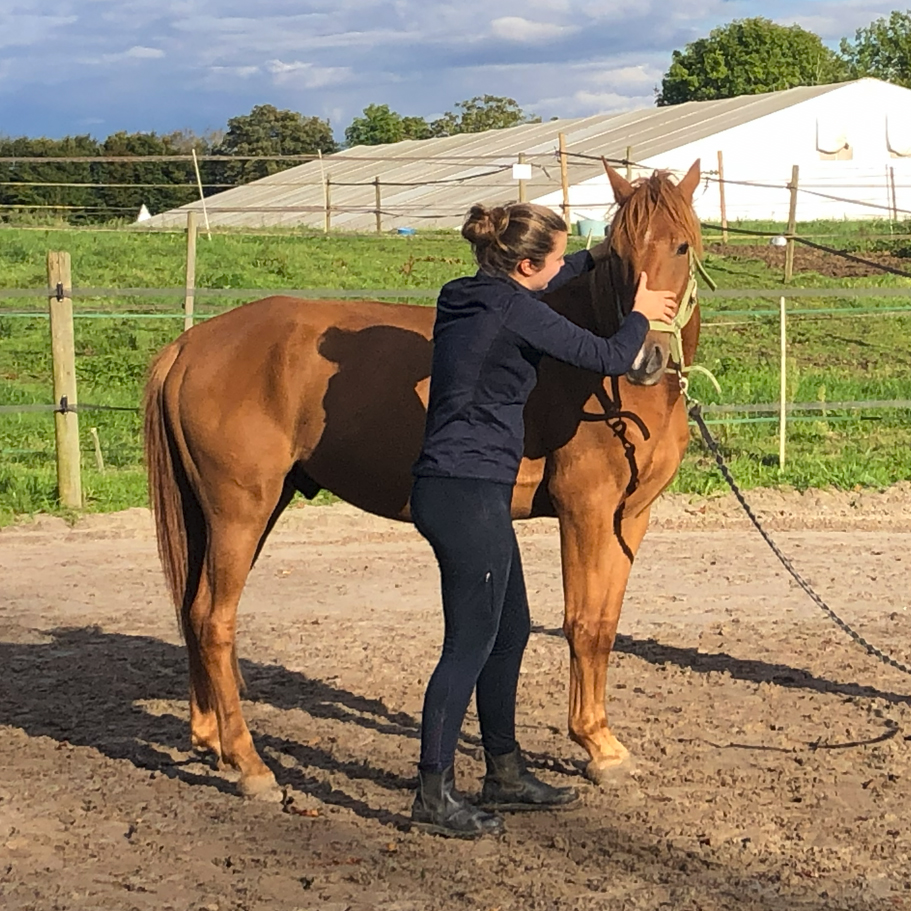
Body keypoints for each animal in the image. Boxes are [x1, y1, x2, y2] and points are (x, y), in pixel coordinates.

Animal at [143, 160, 703, 798]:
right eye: (619, 252)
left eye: (681, 246)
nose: (645, 359)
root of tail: (191, 344)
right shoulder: (584, 511)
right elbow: (582, 626)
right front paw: (596, 747)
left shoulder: (629, 517)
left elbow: (606, 625)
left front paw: (602, 741)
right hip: (239, 513)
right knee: (214, 621)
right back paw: (250, 764)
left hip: (221, 515)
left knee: (192, 611)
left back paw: (210, 740)